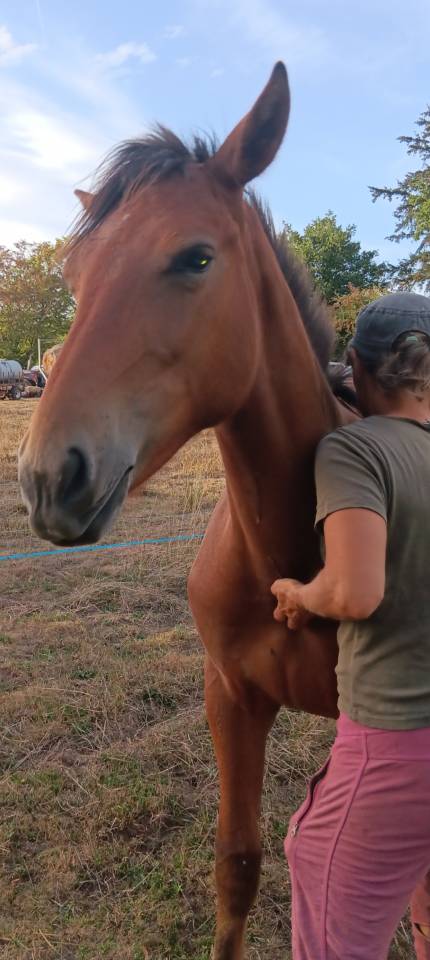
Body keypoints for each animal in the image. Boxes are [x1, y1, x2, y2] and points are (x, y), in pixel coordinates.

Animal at [19, 62, 358, 958]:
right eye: (73, 279)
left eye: (196, 256)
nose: (47, 477)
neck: (290, 562)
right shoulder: (230, 699)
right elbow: (236, 864)